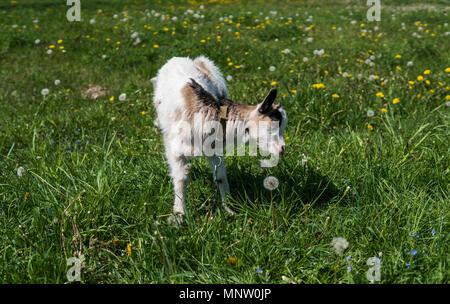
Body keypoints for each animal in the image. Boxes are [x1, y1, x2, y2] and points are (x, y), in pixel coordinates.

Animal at [150, 55, 284, 224]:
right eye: (273, 125)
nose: (282, 149)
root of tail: (178, 58)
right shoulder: (176, 151)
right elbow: (181, 179)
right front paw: (178, 216)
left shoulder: (214, 149)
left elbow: (220, 177)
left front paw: (230, 210)